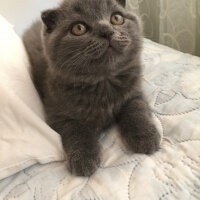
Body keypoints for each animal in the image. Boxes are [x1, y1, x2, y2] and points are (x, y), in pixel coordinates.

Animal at [22, 0, 160, 176]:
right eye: (78, 28)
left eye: (116, 18)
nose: (107, 31)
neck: (103, 82)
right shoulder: (57, 112)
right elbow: (75, 129)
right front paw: (83, 158)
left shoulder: (134, 92)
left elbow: (136, 110)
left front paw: (145, 136)